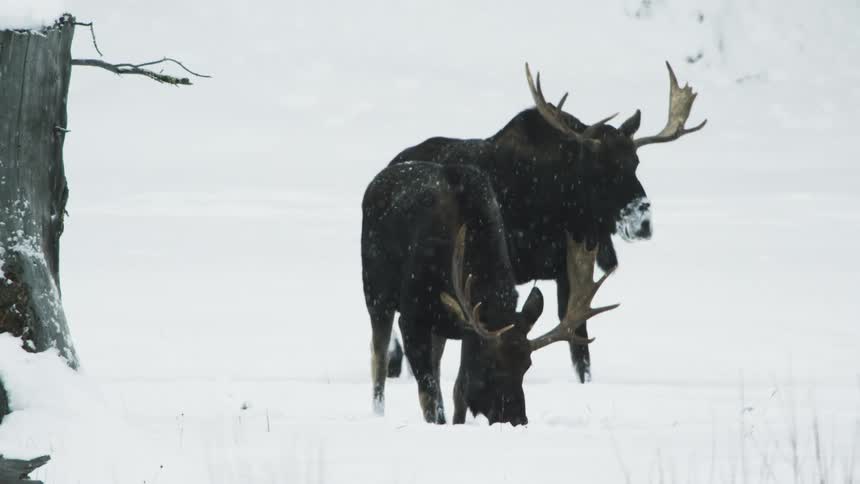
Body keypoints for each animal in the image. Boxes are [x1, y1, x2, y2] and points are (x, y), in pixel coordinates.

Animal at [361, 161, 616, 425]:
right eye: (491, 365)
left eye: (527, 364)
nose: (518, 419)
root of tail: (378, 179)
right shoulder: (413, 316)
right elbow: (428, 393)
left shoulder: (465, 329)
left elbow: (458, 391)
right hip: (376, 295)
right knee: (378, 357)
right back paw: (378, 411)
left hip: (436, 326)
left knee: (436, 362)